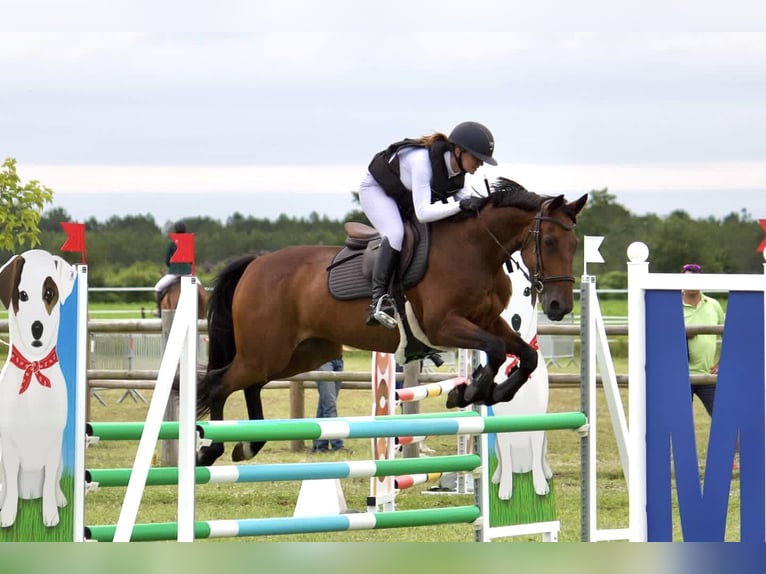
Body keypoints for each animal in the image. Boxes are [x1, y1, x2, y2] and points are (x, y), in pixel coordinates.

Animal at [196, 180, 588, 468]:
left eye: (574, 243)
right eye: (549, 241)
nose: (559, 306)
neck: (475, 251)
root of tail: (255, 263)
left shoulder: (489, 321)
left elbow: (527, 356)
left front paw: (486, 392)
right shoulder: (444, 326)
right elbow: (494, 351)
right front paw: (470, 392)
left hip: (298, 354)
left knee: (250, 384)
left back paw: (247, 445)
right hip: (266, 352)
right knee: (217, 384)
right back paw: (209, 449)